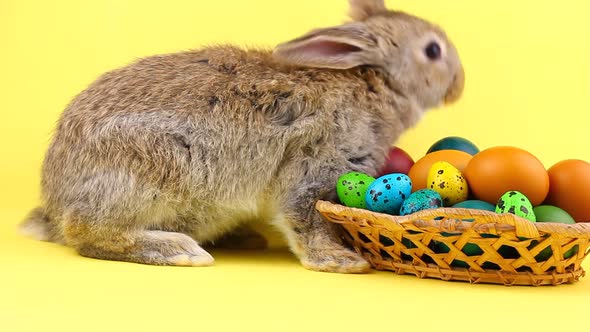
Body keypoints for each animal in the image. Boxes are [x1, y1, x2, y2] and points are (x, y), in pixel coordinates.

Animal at [20, 0, 468, 272]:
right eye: (432, 51)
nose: (459, 85)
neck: (372, 83)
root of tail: (54, 204)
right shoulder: (317, 165)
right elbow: (305, 217)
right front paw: (341, 261)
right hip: (151, 172)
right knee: (86, 232)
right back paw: (179, 250)